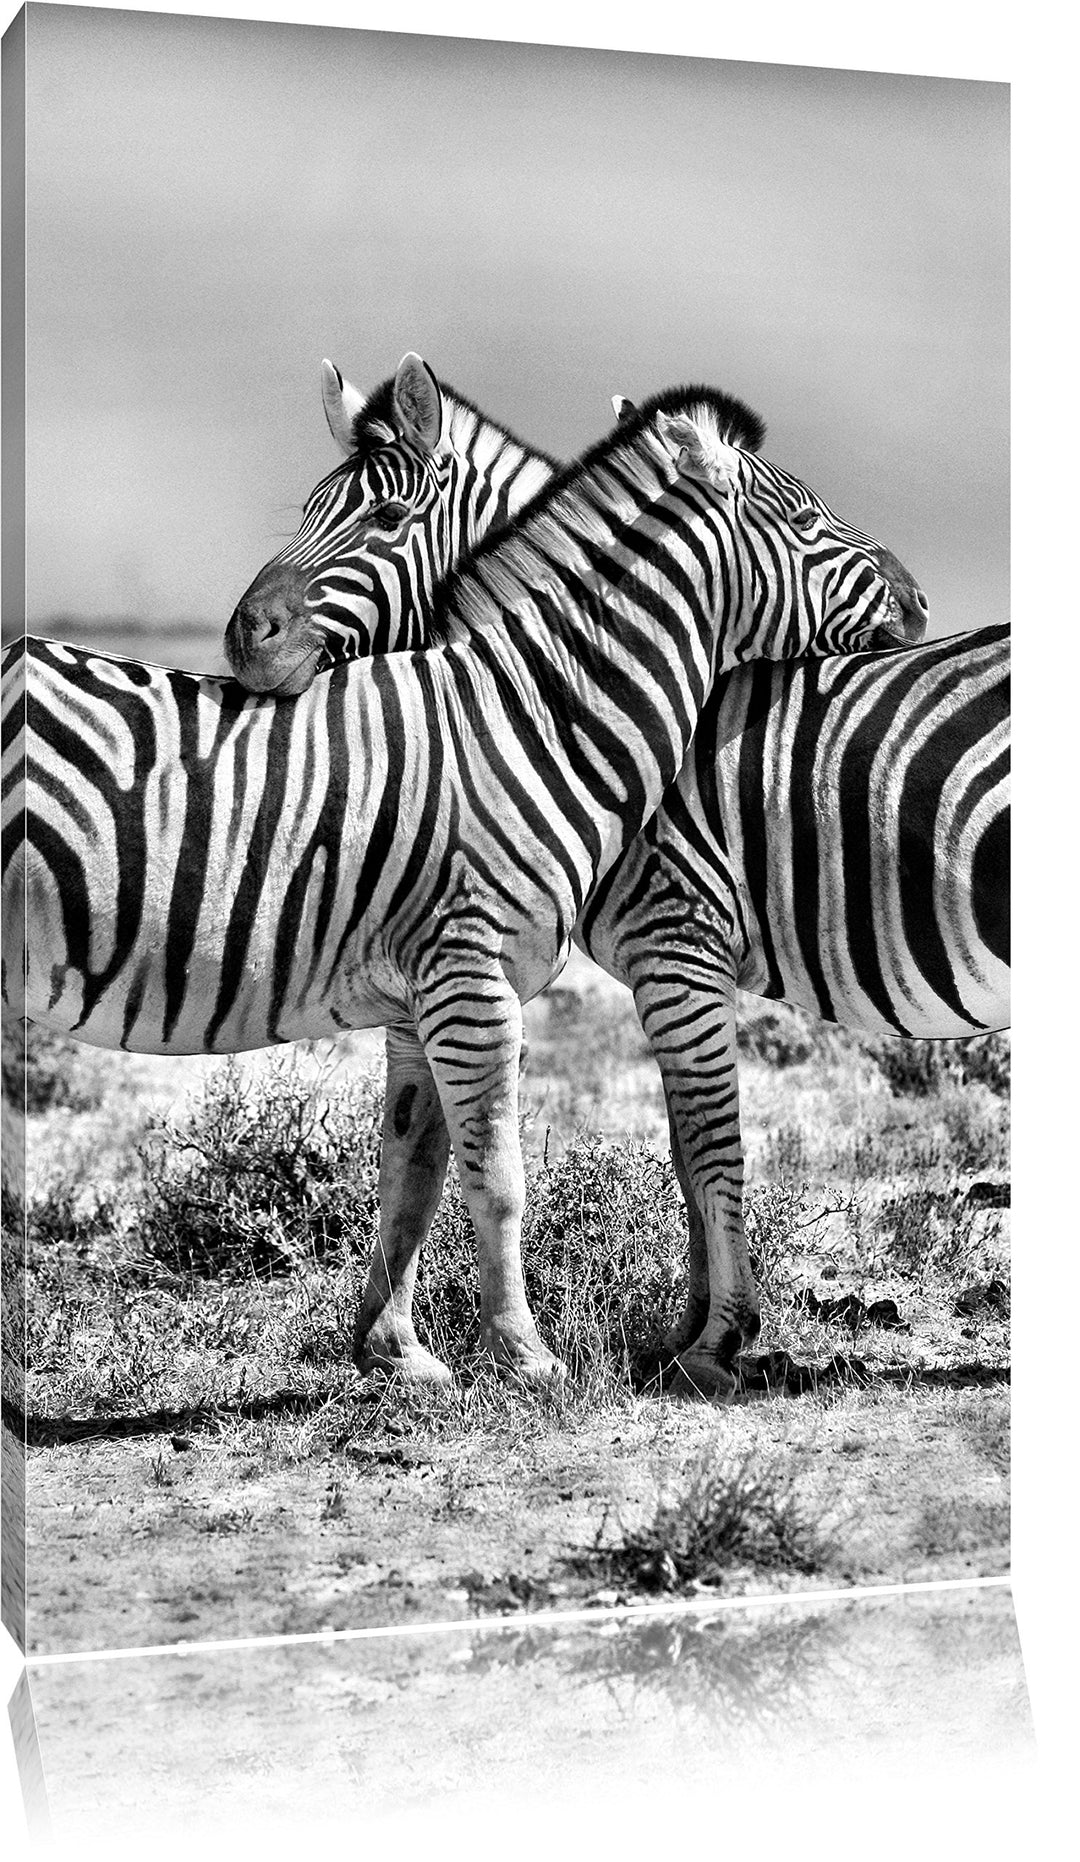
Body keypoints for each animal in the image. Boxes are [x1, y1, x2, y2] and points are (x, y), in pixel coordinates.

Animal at [3, 369, 926, 1391]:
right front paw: (534, 1357)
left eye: (386, 515)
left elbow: (423, 1167)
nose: (918, 600)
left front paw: (403, 1351)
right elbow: (509, 1174)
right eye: (804, 519)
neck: (530, 716)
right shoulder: (492, 974)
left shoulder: (452, 989)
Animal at [226, 357, 1005, 1397]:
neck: (555, 702)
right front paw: (692, 1333)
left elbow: (708, 1142)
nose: (243, 637)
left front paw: (718, 1342)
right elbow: (668, 1144)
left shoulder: (676, 940)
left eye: (384, 518)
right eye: (309, 509)